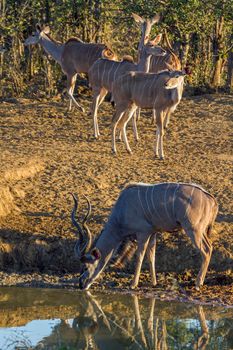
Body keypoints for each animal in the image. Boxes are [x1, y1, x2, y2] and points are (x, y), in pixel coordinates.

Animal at [71, 182, 218, 292]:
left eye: (85, 267)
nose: (81, 285)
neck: (121, 212)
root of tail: (211, 200)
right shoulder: (153, 233)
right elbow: (151, 256)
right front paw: (154, 282)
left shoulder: (143, 233)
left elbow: (140, 256)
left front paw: (133, 284)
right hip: (201, 231)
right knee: (209, 247)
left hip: (193, 230)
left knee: (206, 250)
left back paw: (198, 284)